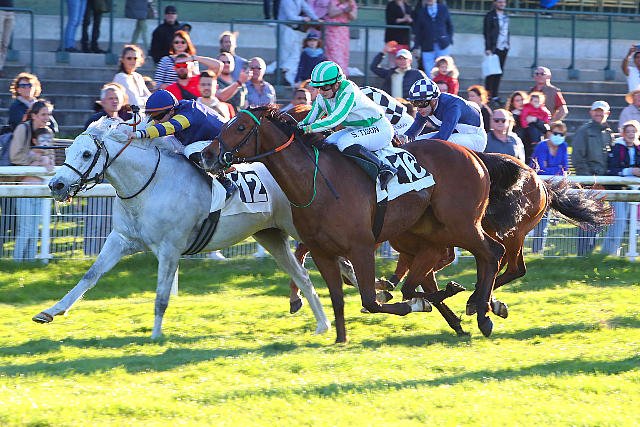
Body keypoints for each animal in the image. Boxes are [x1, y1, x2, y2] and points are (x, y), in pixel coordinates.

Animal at [33, 117, 331, 339]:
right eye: (68, 151)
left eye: (86, 154)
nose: (56, 185)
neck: (150, 184)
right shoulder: (121, 239)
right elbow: (90, 276)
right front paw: (50, 311)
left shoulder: (170, 248)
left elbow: (162, 296)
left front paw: (155, 335)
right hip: (270, 235)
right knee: (303, 275)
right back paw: (322, 324)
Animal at [203, 105, 516, 342]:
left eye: (240, 127)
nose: (206, 154)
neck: (317, 183)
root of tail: (474, 155)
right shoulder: (322, 252)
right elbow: (338, 298)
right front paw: (340, 339)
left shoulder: (362, 247)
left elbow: (370, 300)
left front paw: (404, 303)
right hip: (432, 229)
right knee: (447, 261)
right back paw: (469, 307)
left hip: (461, 223)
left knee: (492, 253)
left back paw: (482, 312)